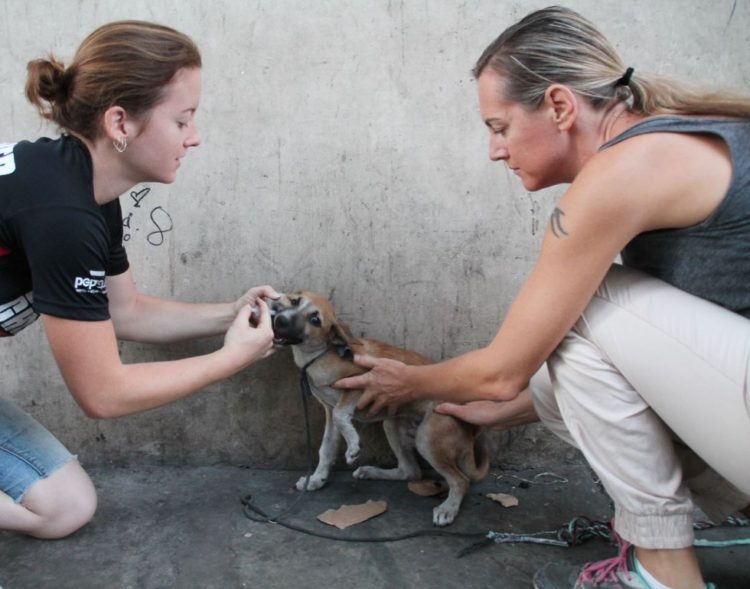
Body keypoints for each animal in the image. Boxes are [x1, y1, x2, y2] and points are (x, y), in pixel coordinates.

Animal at [268, 292, 488, 524]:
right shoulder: (329, 408)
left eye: (315, 320)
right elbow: (326, 447)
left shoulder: (363, 382)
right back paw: (372, 472)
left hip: (427, 437)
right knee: (411, 472)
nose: (280, 321)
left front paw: (353, 446)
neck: (320, 355)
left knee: (461, 480)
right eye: (295, 301)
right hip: (392, 426)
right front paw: (316, 479)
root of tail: (471, 428)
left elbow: (341, 415)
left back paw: (448, 508)